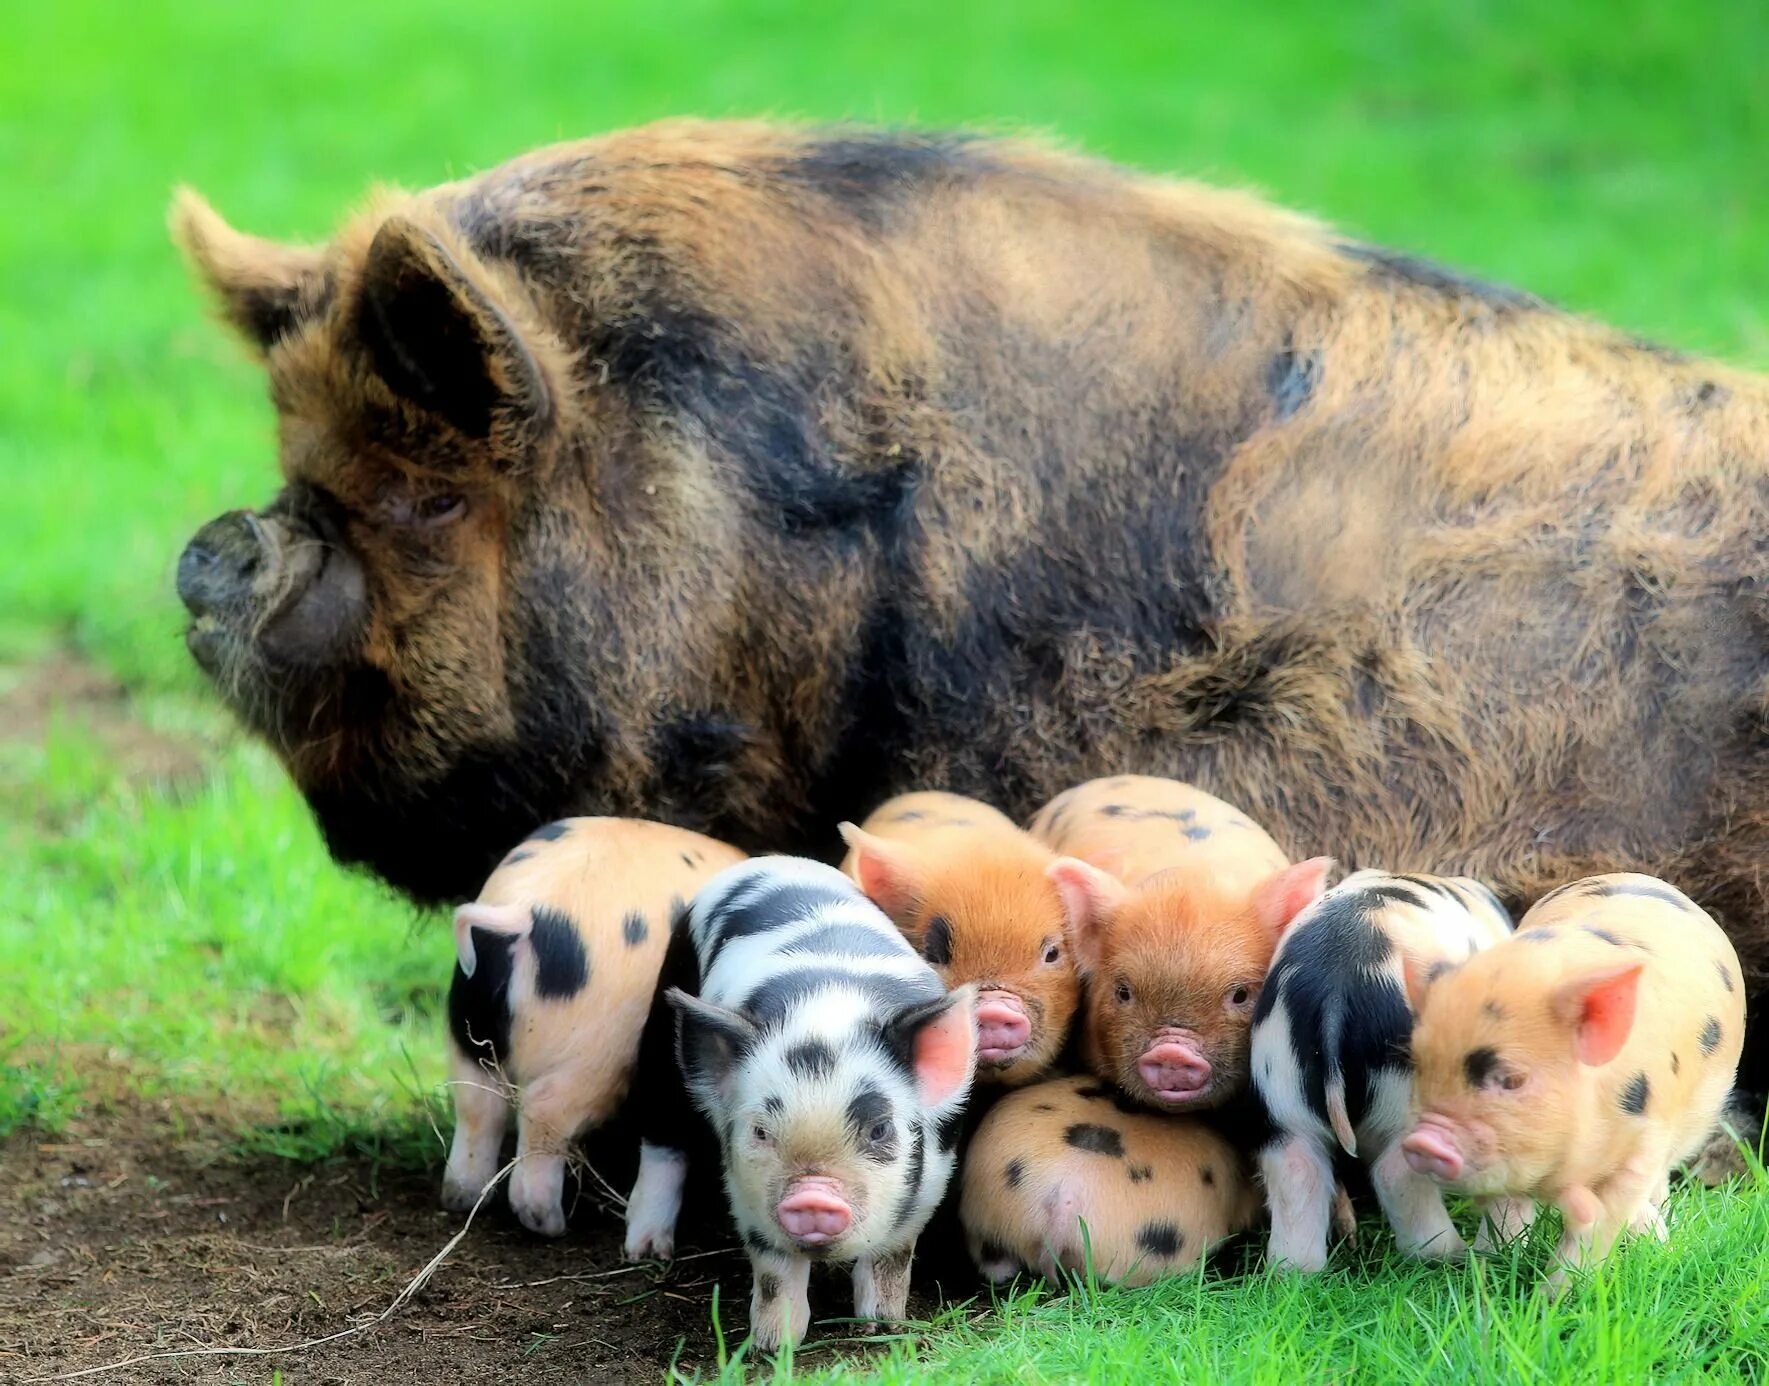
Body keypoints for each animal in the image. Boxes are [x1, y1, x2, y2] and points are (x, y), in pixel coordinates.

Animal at [449, 814, 746, 1239]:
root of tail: (525, 912)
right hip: (601, 1044)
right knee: (543, 1110)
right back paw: (550, 1224)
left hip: (468, 1014)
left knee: (475, 1099)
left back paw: (461, 1196)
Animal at [1401, 877, 1747, 1288]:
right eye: (1419, 1065)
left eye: (1513, 1079)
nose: (1423, 1141)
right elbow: (1505, 1206)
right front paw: (1487, 1264)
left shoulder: (1644, 1143)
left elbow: (1604, 1219)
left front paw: (1555, 1294)